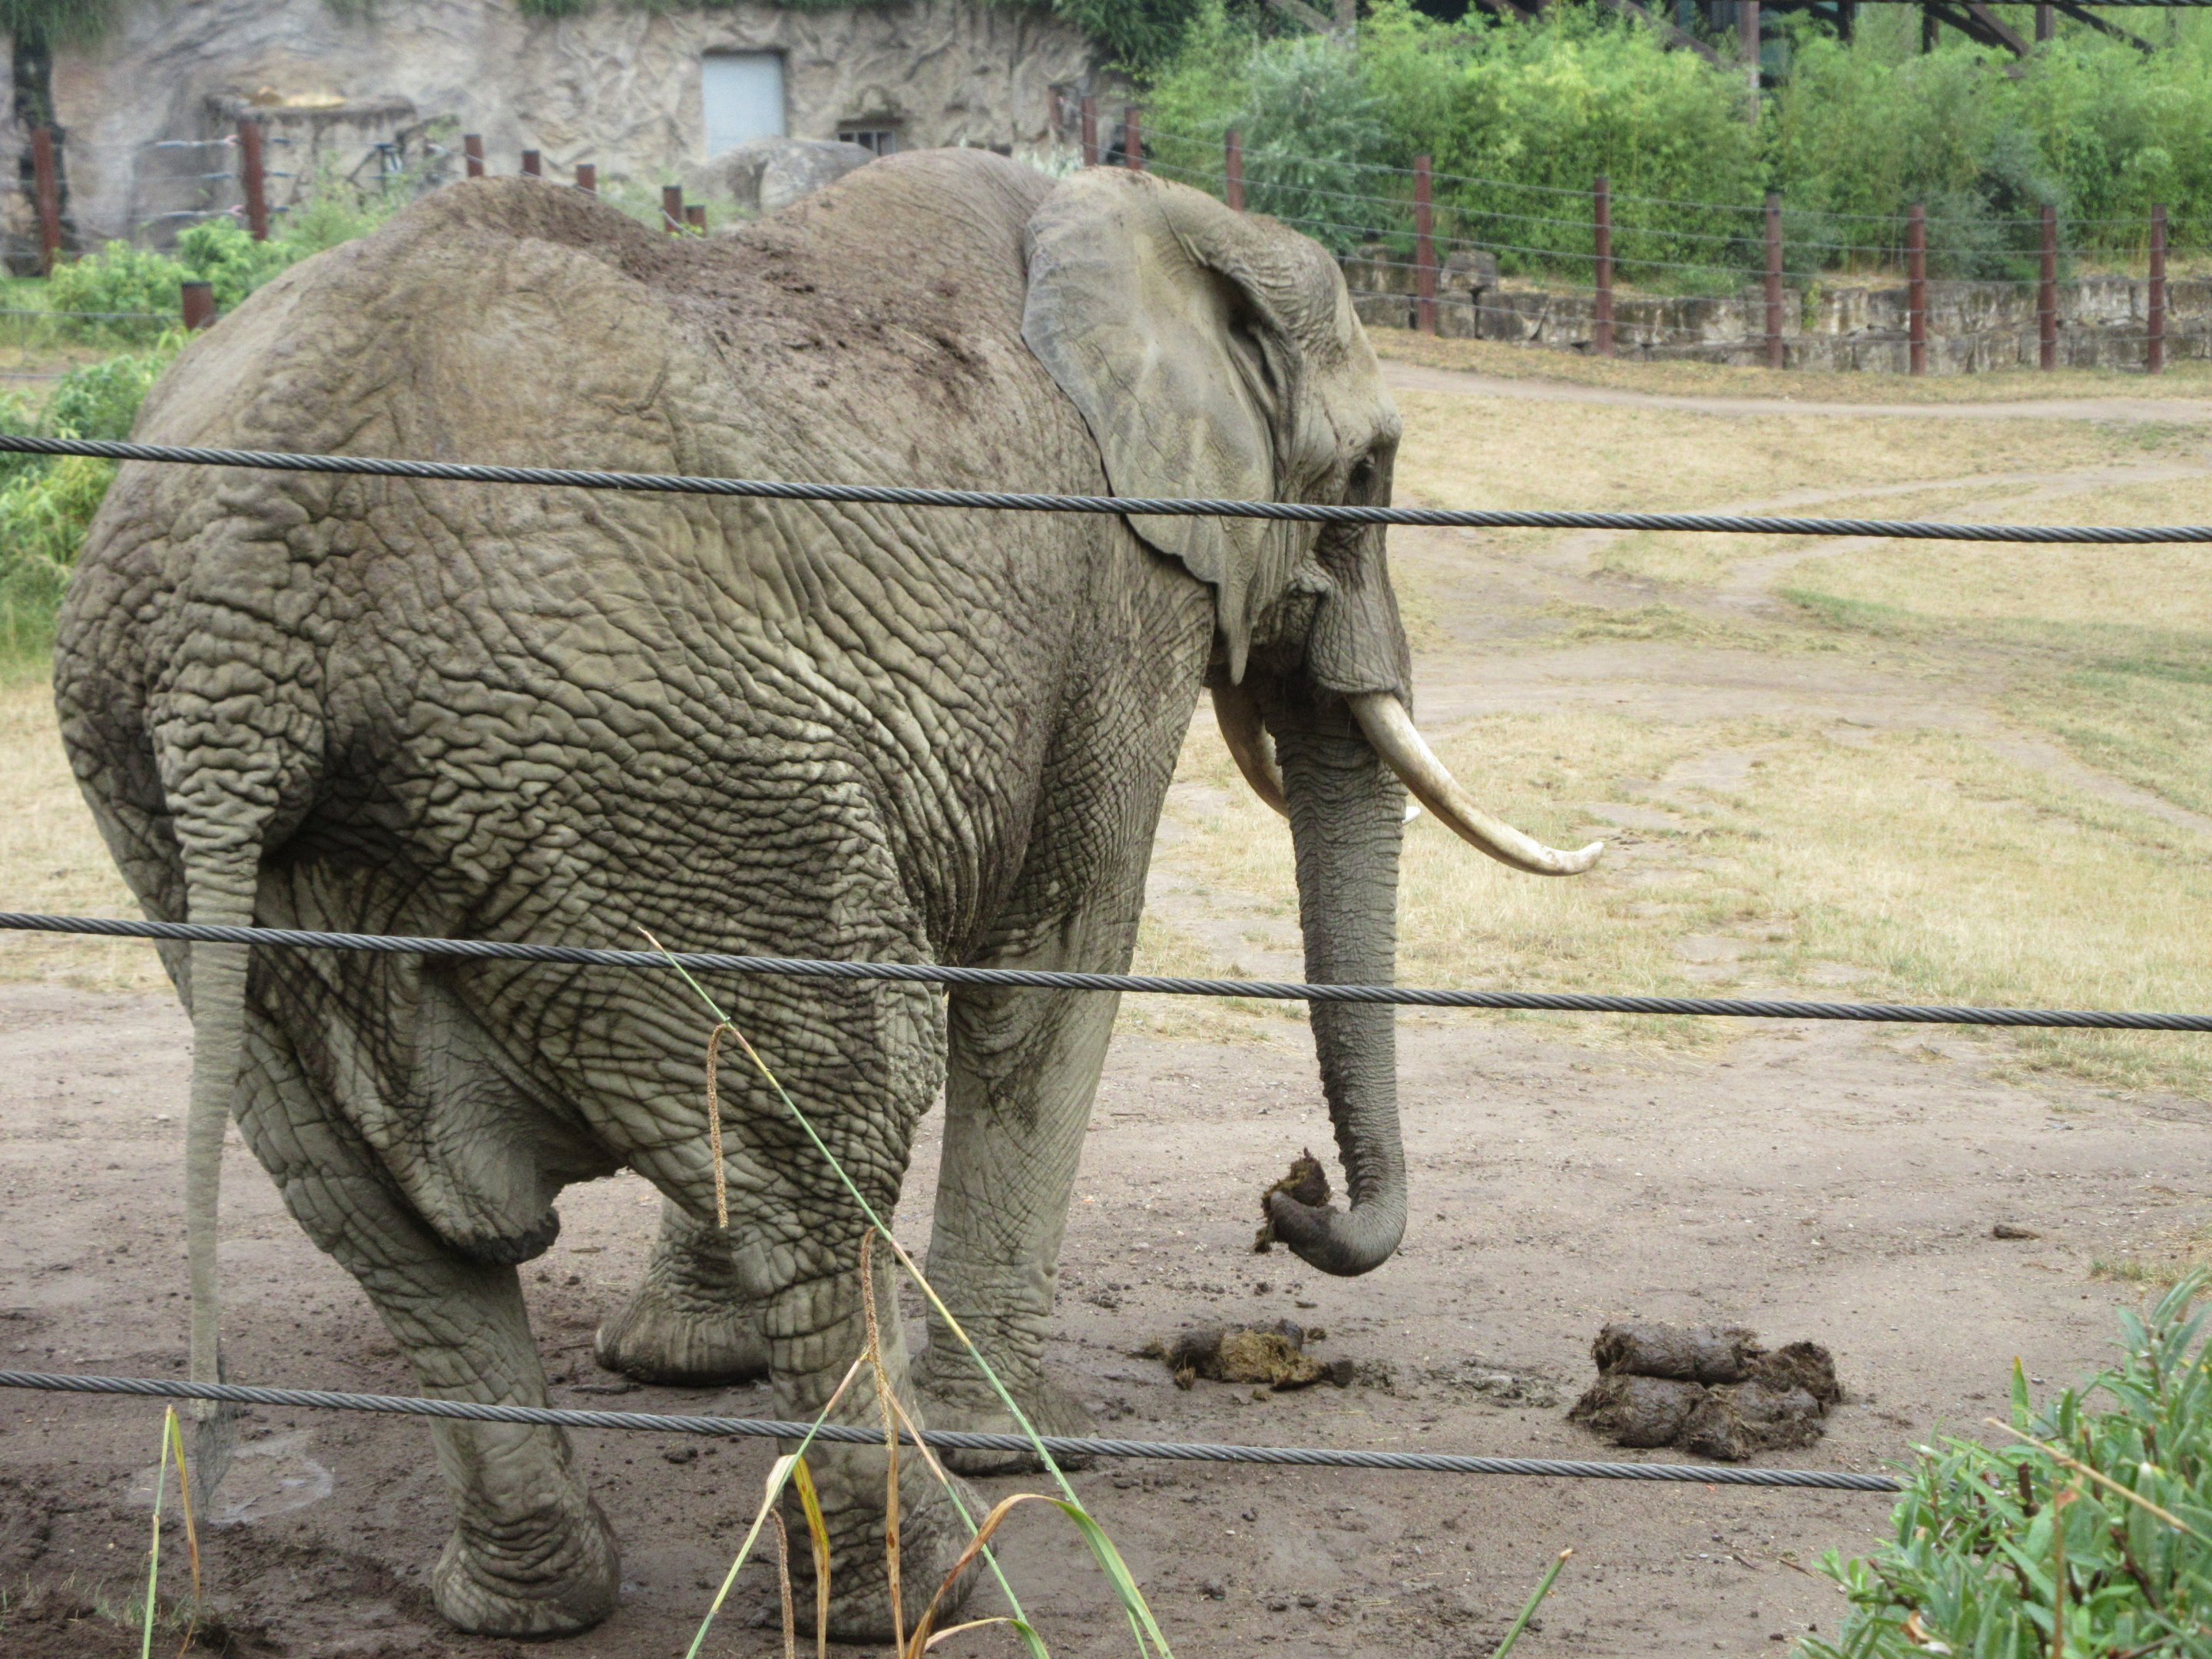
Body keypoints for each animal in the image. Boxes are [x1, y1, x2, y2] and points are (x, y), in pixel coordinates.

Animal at [53, 150, 1598, 1640]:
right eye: (1365, 470)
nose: (1288, 1199)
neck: (1147, 211)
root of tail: (244, 590)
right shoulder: (1118, 585)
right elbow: (1059, 952)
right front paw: (1017, 1441)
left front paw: (686, 1366)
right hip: (647, 742)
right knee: (837, 1102)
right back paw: (934, 1582)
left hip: (205, 833)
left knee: (371, 1206)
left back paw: (529, 1602)